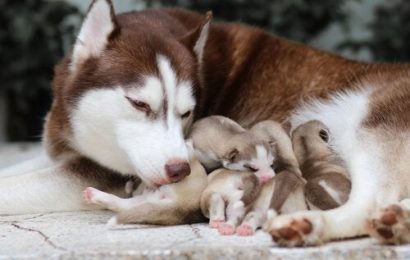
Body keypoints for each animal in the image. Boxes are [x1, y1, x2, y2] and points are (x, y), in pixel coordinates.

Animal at [2, 0, 410, 247]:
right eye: (138, 103)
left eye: (186, 113)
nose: (180, 170)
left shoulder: (101, 173)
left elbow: (12, 187)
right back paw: (396, 221)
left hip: (369, 122)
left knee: (368, 200)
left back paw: (309, 226)